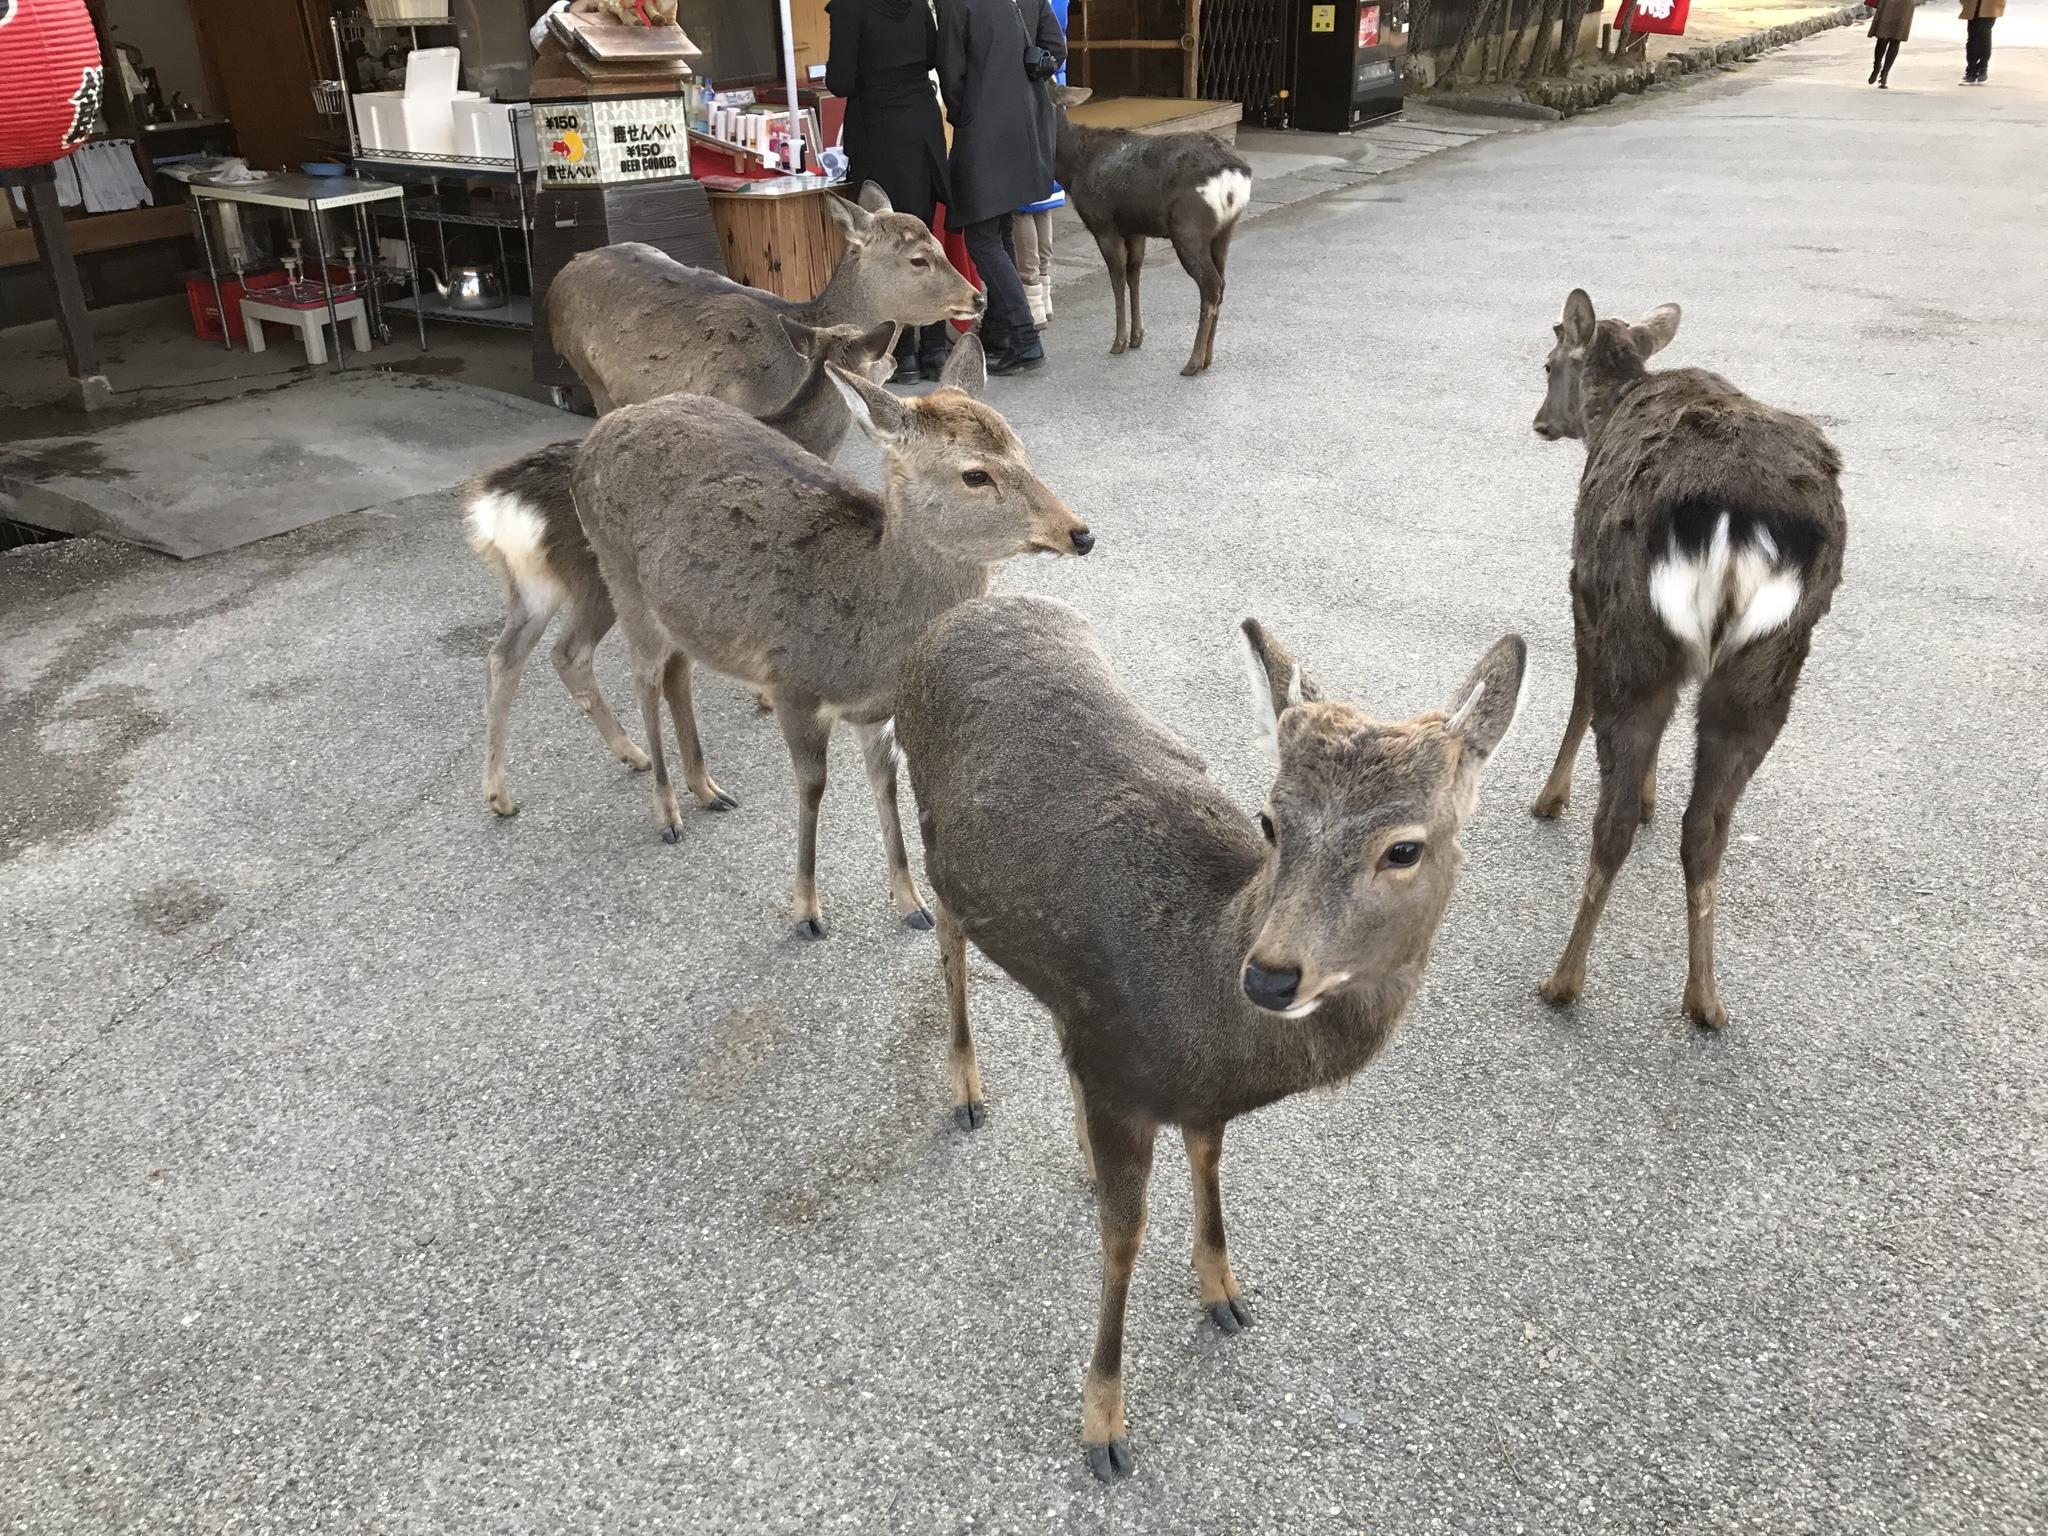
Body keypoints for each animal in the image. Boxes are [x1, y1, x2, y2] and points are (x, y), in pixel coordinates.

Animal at [465, 318, 901, 818]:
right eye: (880, 351)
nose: (894, 362)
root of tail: (499, 502)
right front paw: (758, 702)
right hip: (598, 580)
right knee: (570, 652)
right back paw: (631, 757)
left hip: (533, 586)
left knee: (505, 656)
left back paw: (503, 791)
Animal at [572, 335, 1093, 938]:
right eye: (975, 475)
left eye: (1021, 450)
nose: (1080, 533)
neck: (868, 649)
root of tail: (595, 437)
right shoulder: (791, 686)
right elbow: (812, 788)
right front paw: (807, 911)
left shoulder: (876, 713)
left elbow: (886, 786)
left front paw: (911, 903)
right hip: (620, 577)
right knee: (644, 680)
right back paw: (667, 811)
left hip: (680, 612)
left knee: (677, 674)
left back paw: (707, 789)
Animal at [895, 593, 1527, 1481]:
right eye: (1270, 819)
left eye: (1404, 847)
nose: (1269, 976)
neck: (1207, 1036)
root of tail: (964, 609)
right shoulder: (1123, 1084)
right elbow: (1124, 1241)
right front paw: (1104, 1428)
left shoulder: (1172, 1089)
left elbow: (1208, 1166)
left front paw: (1225, 1293)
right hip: (930, 829)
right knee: (948, 940)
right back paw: (967, 1091)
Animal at [1049, 84, 1253, 377]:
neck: (1074, 167)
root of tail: (1236, 175)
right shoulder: (1136, 230)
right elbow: (1134, 275)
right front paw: (1137, 337)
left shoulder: (1103, 224)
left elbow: (1117, 278)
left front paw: (1119, 342)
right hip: (1223, 232)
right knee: (1222, 284)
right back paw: (1208, 358)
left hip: (1188, 228)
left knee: (1211, 285)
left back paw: (1192, 362)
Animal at [1528, 289, 1847, 1030]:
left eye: (1549, 362)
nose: (1540, 422)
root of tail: (1741, 522)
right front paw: (1651, 794)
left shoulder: (1582, 587)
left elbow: (1579, 695)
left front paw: (1550, 796)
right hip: (1771, 660)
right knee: (1706, 827)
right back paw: (1705, 998)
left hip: (1636, 627)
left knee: (1612, 816)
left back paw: (1564, 980)